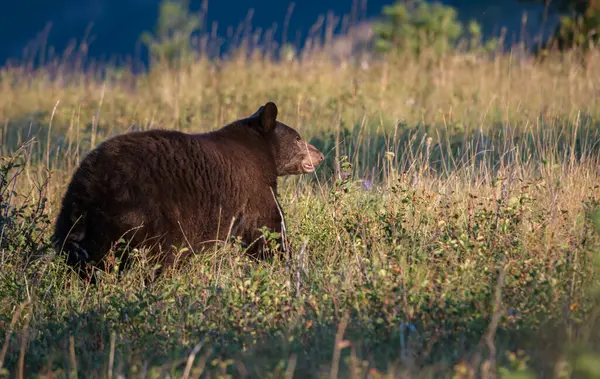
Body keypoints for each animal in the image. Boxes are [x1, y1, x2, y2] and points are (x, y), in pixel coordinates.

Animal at [51, 101, 324, 282]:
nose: (320, 155)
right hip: (141, 213)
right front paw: (287, 259)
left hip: (72, 220)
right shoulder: (252, 187)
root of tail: (89, 187)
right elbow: (266, 227)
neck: (261, 152)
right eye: (298, 138)